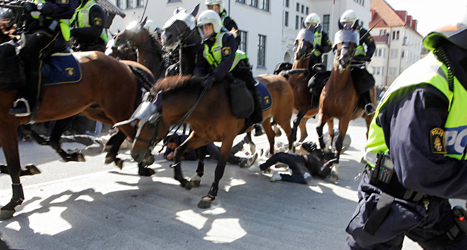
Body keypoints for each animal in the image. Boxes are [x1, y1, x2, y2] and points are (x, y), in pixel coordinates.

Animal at [0, 49, 157, 218]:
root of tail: (125, 65)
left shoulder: (6, 125)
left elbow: (13, 165)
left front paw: (12, 202)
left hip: (114, 109)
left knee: (133, 132)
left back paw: (140, 162)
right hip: (96, 110)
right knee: (124, 129)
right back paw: (115, 153)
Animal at [128, 74, 294, 209]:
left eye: (151, 124)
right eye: (136, 123)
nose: (135, 154)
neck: (207, 105)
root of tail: (281, 78)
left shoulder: (228, 139)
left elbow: (219, 168)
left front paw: (210, 195)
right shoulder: (201, 136)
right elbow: (179, 150)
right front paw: (185, 180)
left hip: (283, 117)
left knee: (291, 134)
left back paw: (290, 158)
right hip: (266, 119)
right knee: (271, 136)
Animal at [314, 24, 376, 180]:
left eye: (354, 43)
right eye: (340, 40)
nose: (344, 61)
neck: (338, 87)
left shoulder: (345, 118)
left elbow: (339, 141)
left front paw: (335, 166)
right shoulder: (324, 112)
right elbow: (319, 129)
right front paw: (325, 148)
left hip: (369, 116)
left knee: (368, 134)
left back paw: (365, 157)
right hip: (331, 117)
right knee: (330, 132)